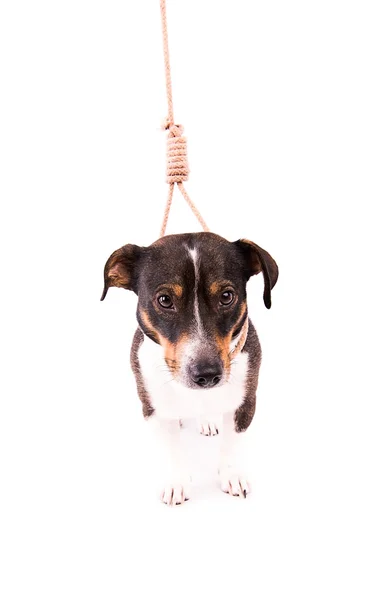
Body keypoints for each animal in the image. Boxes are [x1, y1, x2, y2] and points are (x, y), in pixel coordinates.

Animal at [100, 232, 278, 504]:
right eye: (165, 300)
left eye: (226, 296)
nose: (207, 374)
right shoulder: (152, 407)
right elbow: (172, 448)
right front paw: (177, 483)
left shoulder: (246, 401)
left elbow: (232, 443)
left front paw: (231, 476)